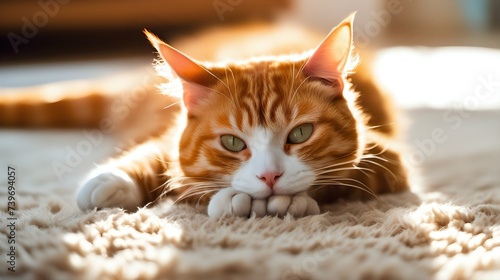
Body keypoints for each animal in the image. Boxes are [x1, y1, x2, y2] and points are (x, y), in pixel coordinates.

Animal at [0, 14, 408, 218]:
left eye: (300, 134)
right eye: (232, 142)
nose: (270, 176)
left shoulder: (386, 159)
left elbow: (336, 180)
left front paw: (285, 200)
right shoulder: (168, 140)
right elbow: (158, 158)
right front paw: (113, 182)